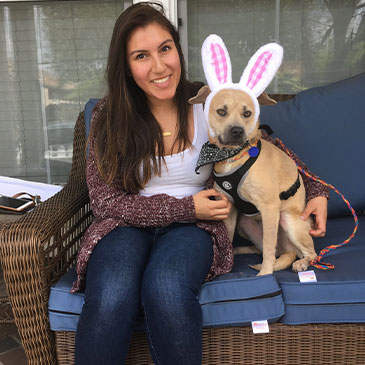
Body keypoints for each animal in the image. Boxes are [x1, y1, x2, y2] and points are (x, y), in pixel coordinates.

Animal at [191, 35, 316, 274]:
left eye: (247, 113)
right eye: (221, 111)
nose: (237, 131)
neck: (232, 157)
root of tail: (288, 250)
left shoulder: (270, 208)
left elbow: (268, 248)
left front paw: (265, 274)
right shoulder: (230, 210)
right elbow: (229, 237)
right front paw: (228, 261)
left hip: (288, 220)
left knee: (306, 251)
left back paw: (302, 262)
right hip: (245, 223)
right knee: (264, 248)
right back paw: (243, 250)